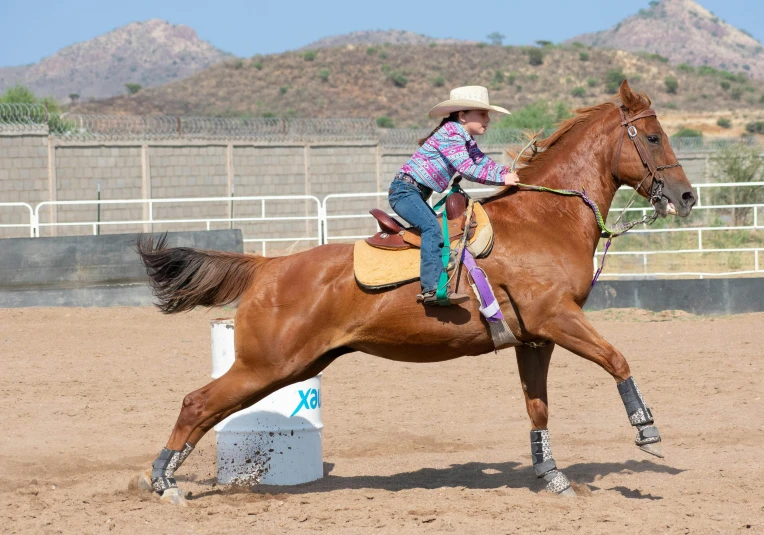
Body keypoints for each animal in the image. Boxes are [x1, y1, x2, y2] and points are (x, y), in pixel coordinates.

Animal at [134, 78, 696, 502]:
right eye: (652, 138)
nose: (686, 196)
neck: (546, 218)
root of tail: (267, 266)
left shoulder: (536, 339)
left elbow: (537, 406)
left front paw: (552, 475)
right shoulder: (557, 318)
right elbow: (617, 359)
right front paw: (647, 432)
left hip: (288, 367)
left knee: (210, 408)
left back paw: (169, 475)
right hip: (267, 363)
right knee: (196, 403)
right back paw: (163, 481)